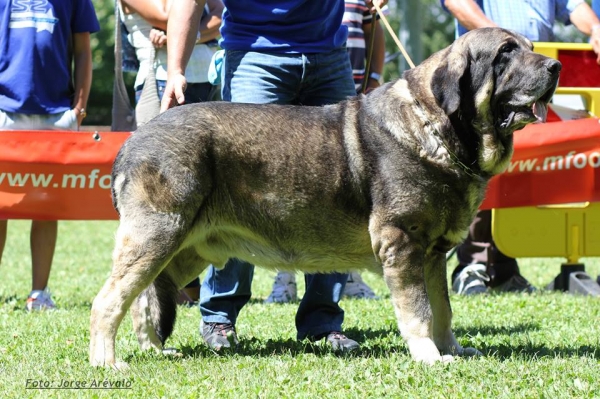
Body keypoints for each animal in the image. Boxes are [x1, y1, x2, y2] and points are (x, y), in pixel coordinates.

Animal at [91, 27, 560, 366]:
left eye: (530, 48)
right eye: (505, 53)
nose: (556, 65)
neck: (439, 129)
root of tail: (131, 141)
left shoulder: (431, 255)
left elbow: (443, 311)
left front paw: (454, 350)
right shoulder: (402, 245)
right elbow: (419, 312)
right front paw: (429, 357)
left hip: (187, 247)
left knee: (147, 296)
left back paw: (155, 350)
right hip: (157, 236)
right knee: (110, 301)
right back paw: (108, 363)